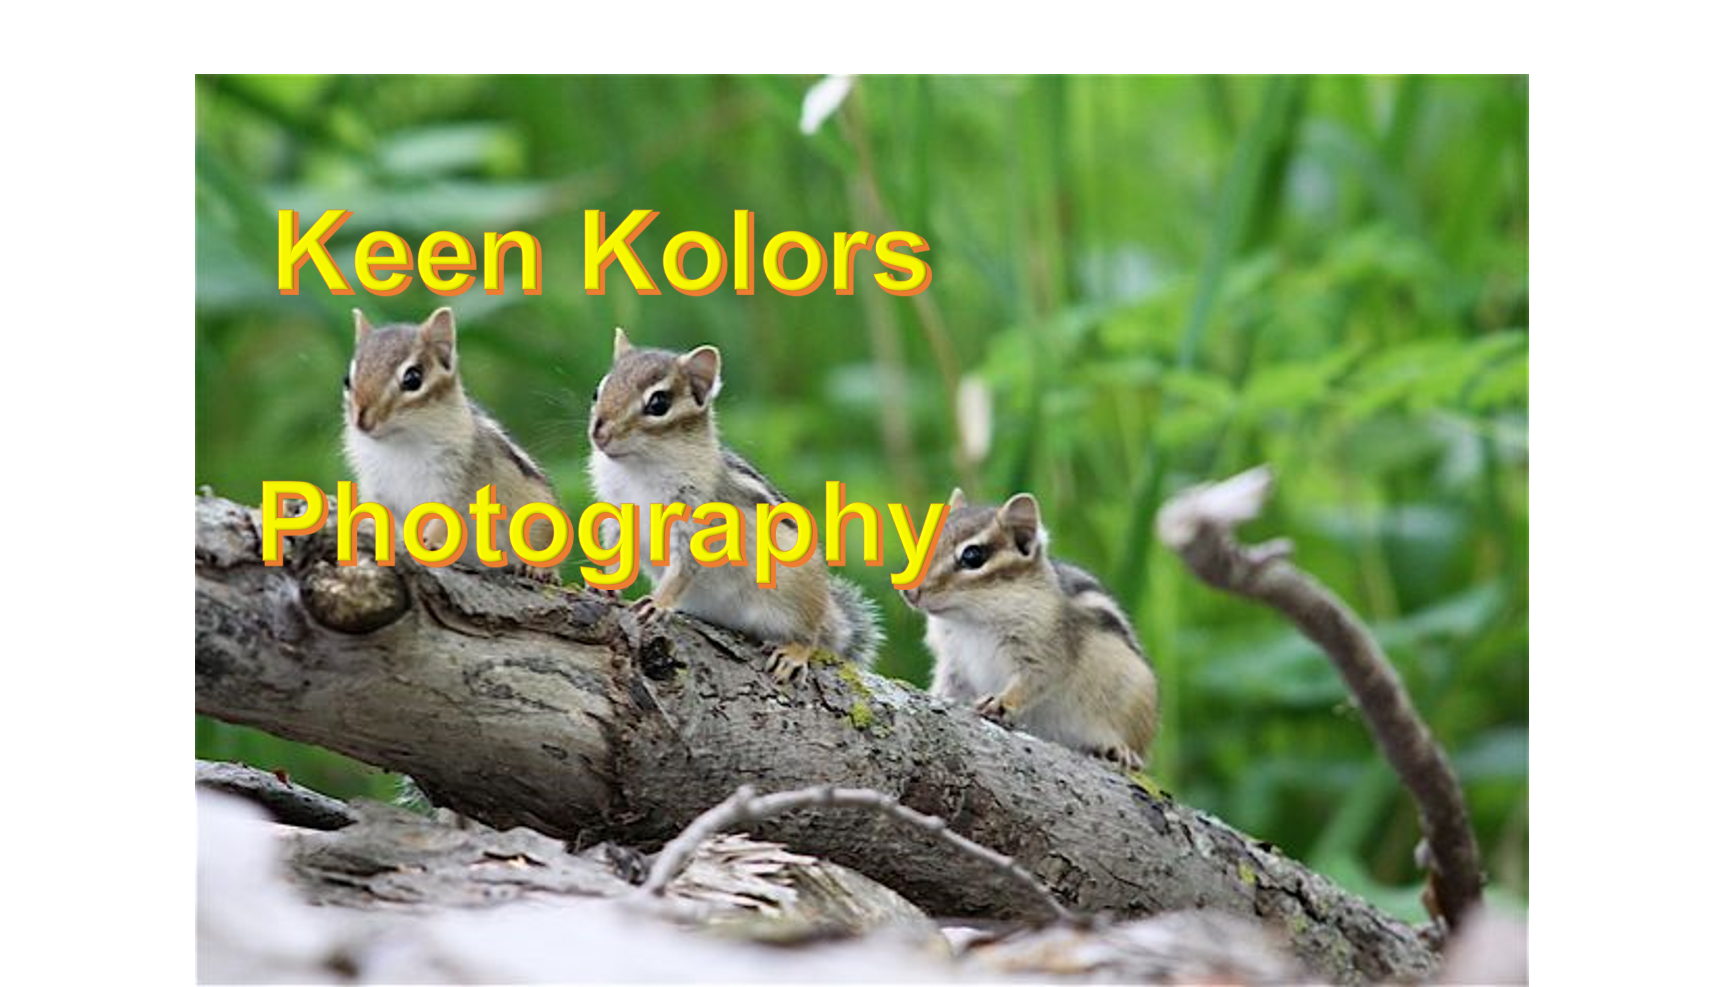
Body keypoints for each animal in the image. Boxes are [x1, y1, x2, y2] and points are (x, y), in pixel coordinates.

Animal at [342, 307, 560, 582]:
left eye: (413, 379)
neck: (399, 443)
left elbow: (444, 519)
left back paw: (538, 569)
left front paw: (430, 542)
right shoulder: (374, 485)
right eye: (347, 380)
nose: (362, 421)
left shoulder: (457, 481)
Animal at [587, 328, 880, 679]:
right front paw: (605, 583)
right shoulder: (616, 512)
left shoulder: (695, 516)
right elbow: (615, 552)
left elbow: (683, 568)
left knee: (810, 634)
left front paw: (658, 602)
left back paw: (794, 652)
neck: (637, 468)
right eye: (598, 390)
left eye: (658, 403)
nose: (599, 433)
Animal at [901, 489, 1159, 771]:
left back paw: (1122, 750)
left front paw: (1000, 702)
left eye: (972, 556)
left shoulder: (1046, 650)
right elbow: (948, 686)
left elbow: (1034, 680)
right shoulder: (953, 661)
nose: (908, 591)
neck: (970, 620)